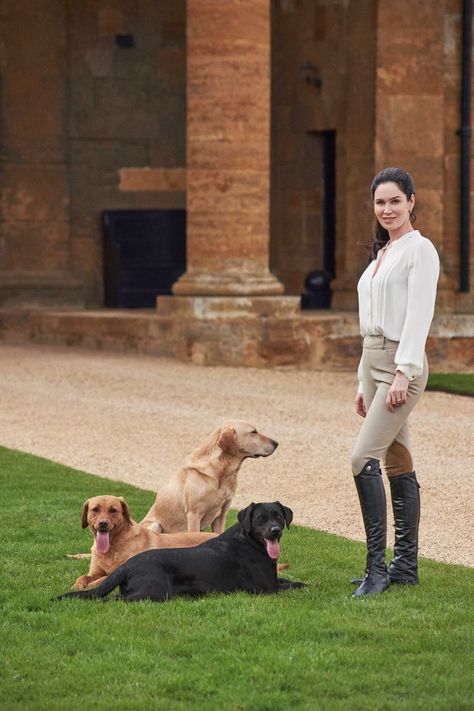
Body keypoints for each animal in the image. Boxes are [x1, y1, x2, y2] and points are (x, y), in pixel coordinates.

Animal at [54, 504, 304, 604]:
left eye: (278, 516)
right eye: (261, 519)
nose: (275, 530)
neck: (249, 541)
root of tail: (126, 566)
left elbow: (290, 579)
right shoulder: (267, 589)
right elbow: (299, 584)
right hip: (154, 592)